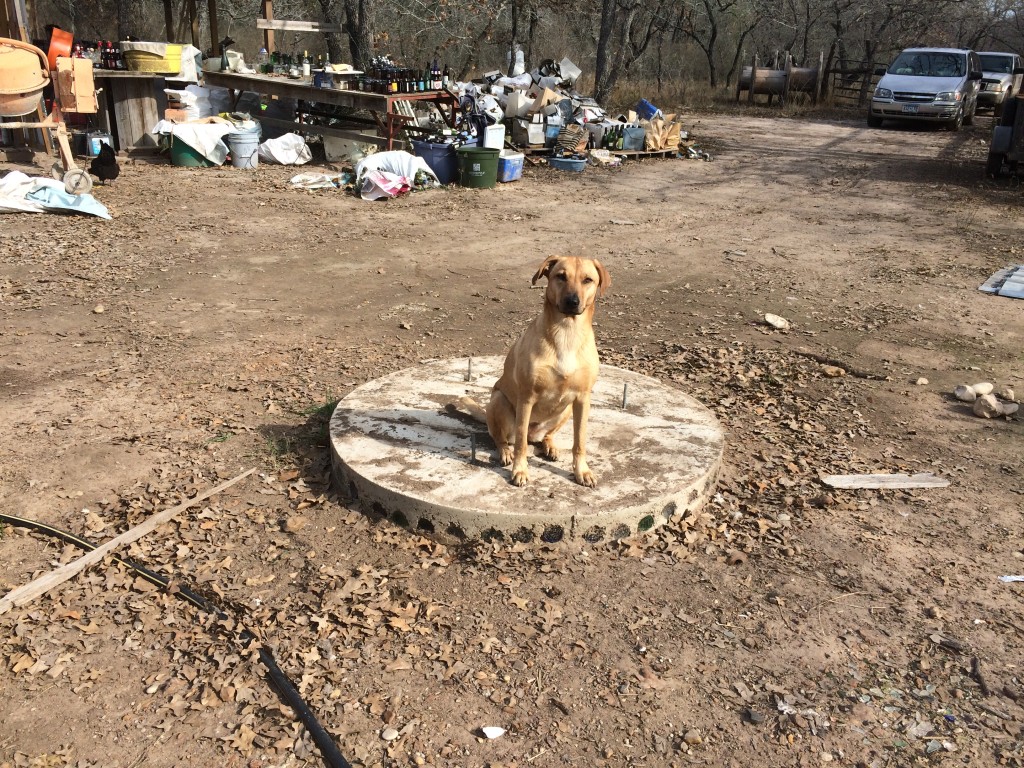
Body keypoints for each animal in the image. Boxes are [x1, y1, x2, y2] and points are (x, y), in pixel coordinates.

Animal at [462, 257, 606, 487]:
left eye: (588, 280)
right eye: (560, 276)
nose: (572, 301)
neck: (567, 332)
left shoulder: (582, 399)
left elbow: (579, 441)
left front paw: (582, 471)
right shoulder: (527, 397)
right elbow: (520, 443)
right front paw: (520, 470)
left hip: (565, 409)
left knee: (546, 436)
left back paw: (550, 446)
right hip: (499, 401)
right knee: (503, 438)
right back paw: (505, 452)